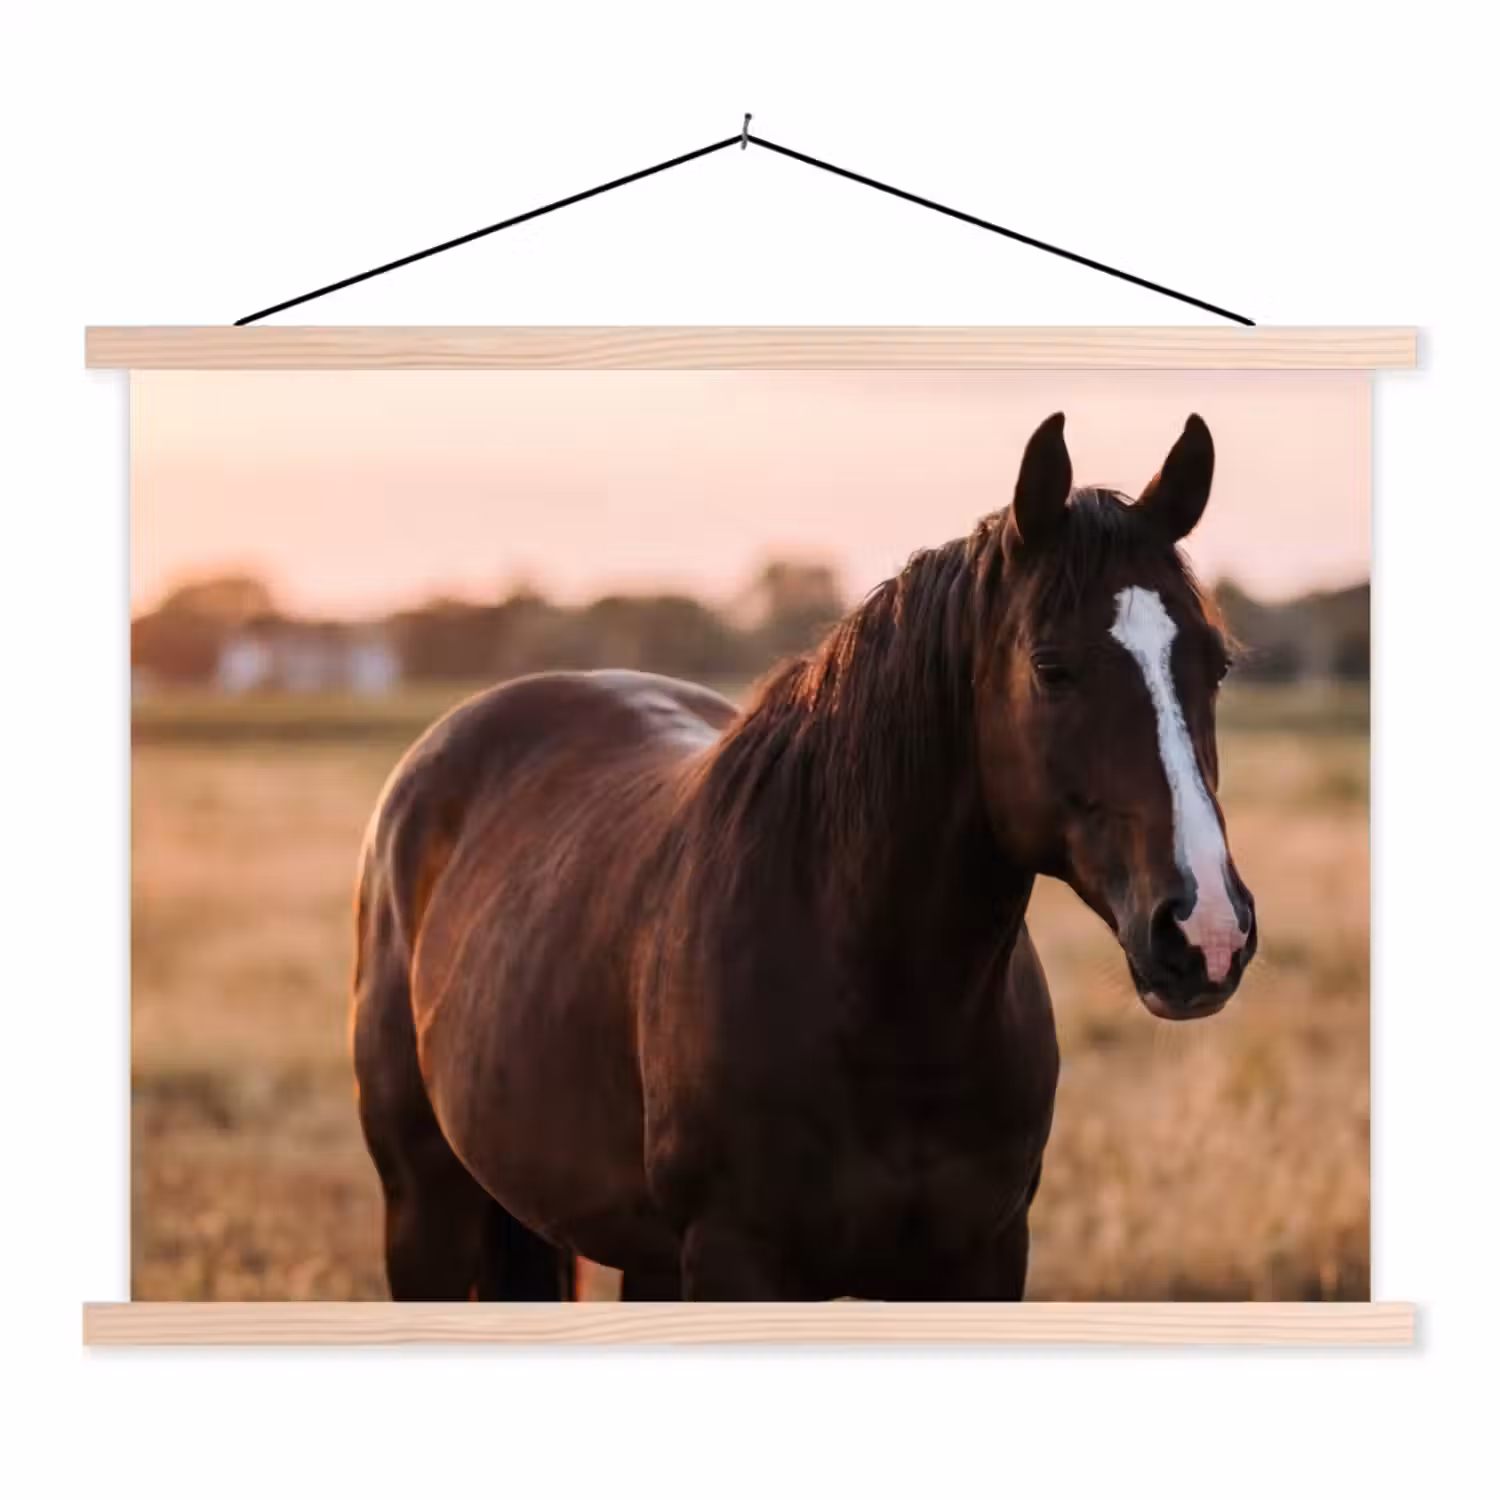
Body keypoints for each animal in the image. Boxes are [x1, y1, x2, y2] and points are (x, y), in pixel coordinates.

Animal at [351, 410, 1257, 1301]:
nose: (1206, 932)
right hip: (424, 1211)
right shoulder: (734, 1260)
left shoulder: (982, 1257)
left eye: (1216, 664)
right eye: (1051, 668)